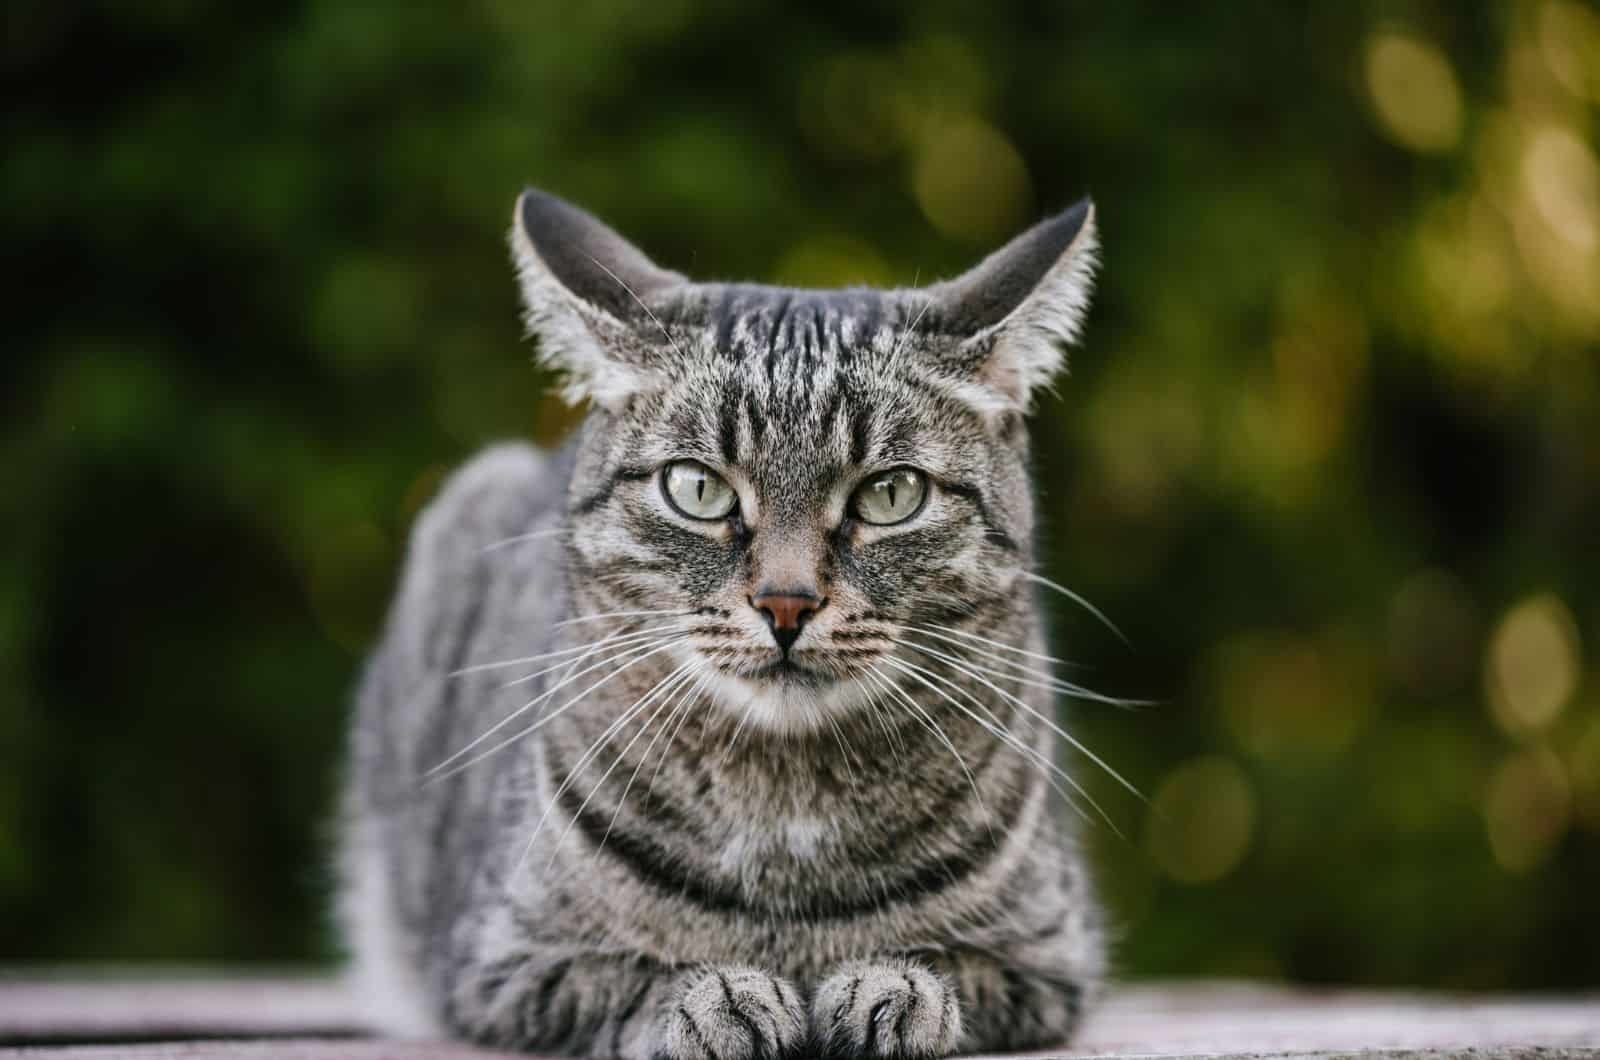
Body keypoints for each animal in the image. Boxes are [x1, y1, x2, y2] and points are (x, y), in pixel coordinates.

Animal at [334, 186, 1113, 1056]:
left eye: (890, 494)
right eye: (698, 489)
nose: (786, 602)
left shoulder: (1050, 957)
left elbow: (953, 970)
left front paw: (893, 989)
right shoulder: (502, 964)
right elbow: (628, 983)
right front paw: (718, 1000)